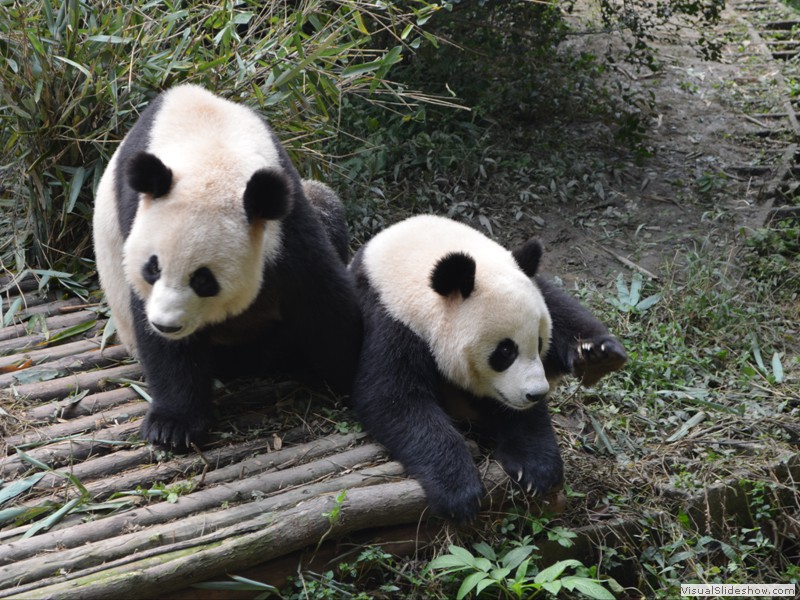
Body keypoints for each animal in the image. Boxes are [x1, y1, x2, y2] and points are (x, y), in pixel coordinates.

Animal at [91, 86, 362, 448]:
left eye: (203, 280)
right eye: (152, 268)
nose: (167, 325)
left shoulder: (285, 217)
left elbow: (321, 299)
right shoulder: (135, 217)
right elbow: (161, 342)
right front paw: (173, 426)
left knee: (325, 201)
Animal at [350, 214, 624, 520]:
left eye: (540, 342)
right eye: (505, 351)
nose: (536, 393)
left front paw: (537, 468)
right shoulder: (391, 320)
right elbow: (394, 400)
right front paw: (459, 493)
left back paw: (598, 357)